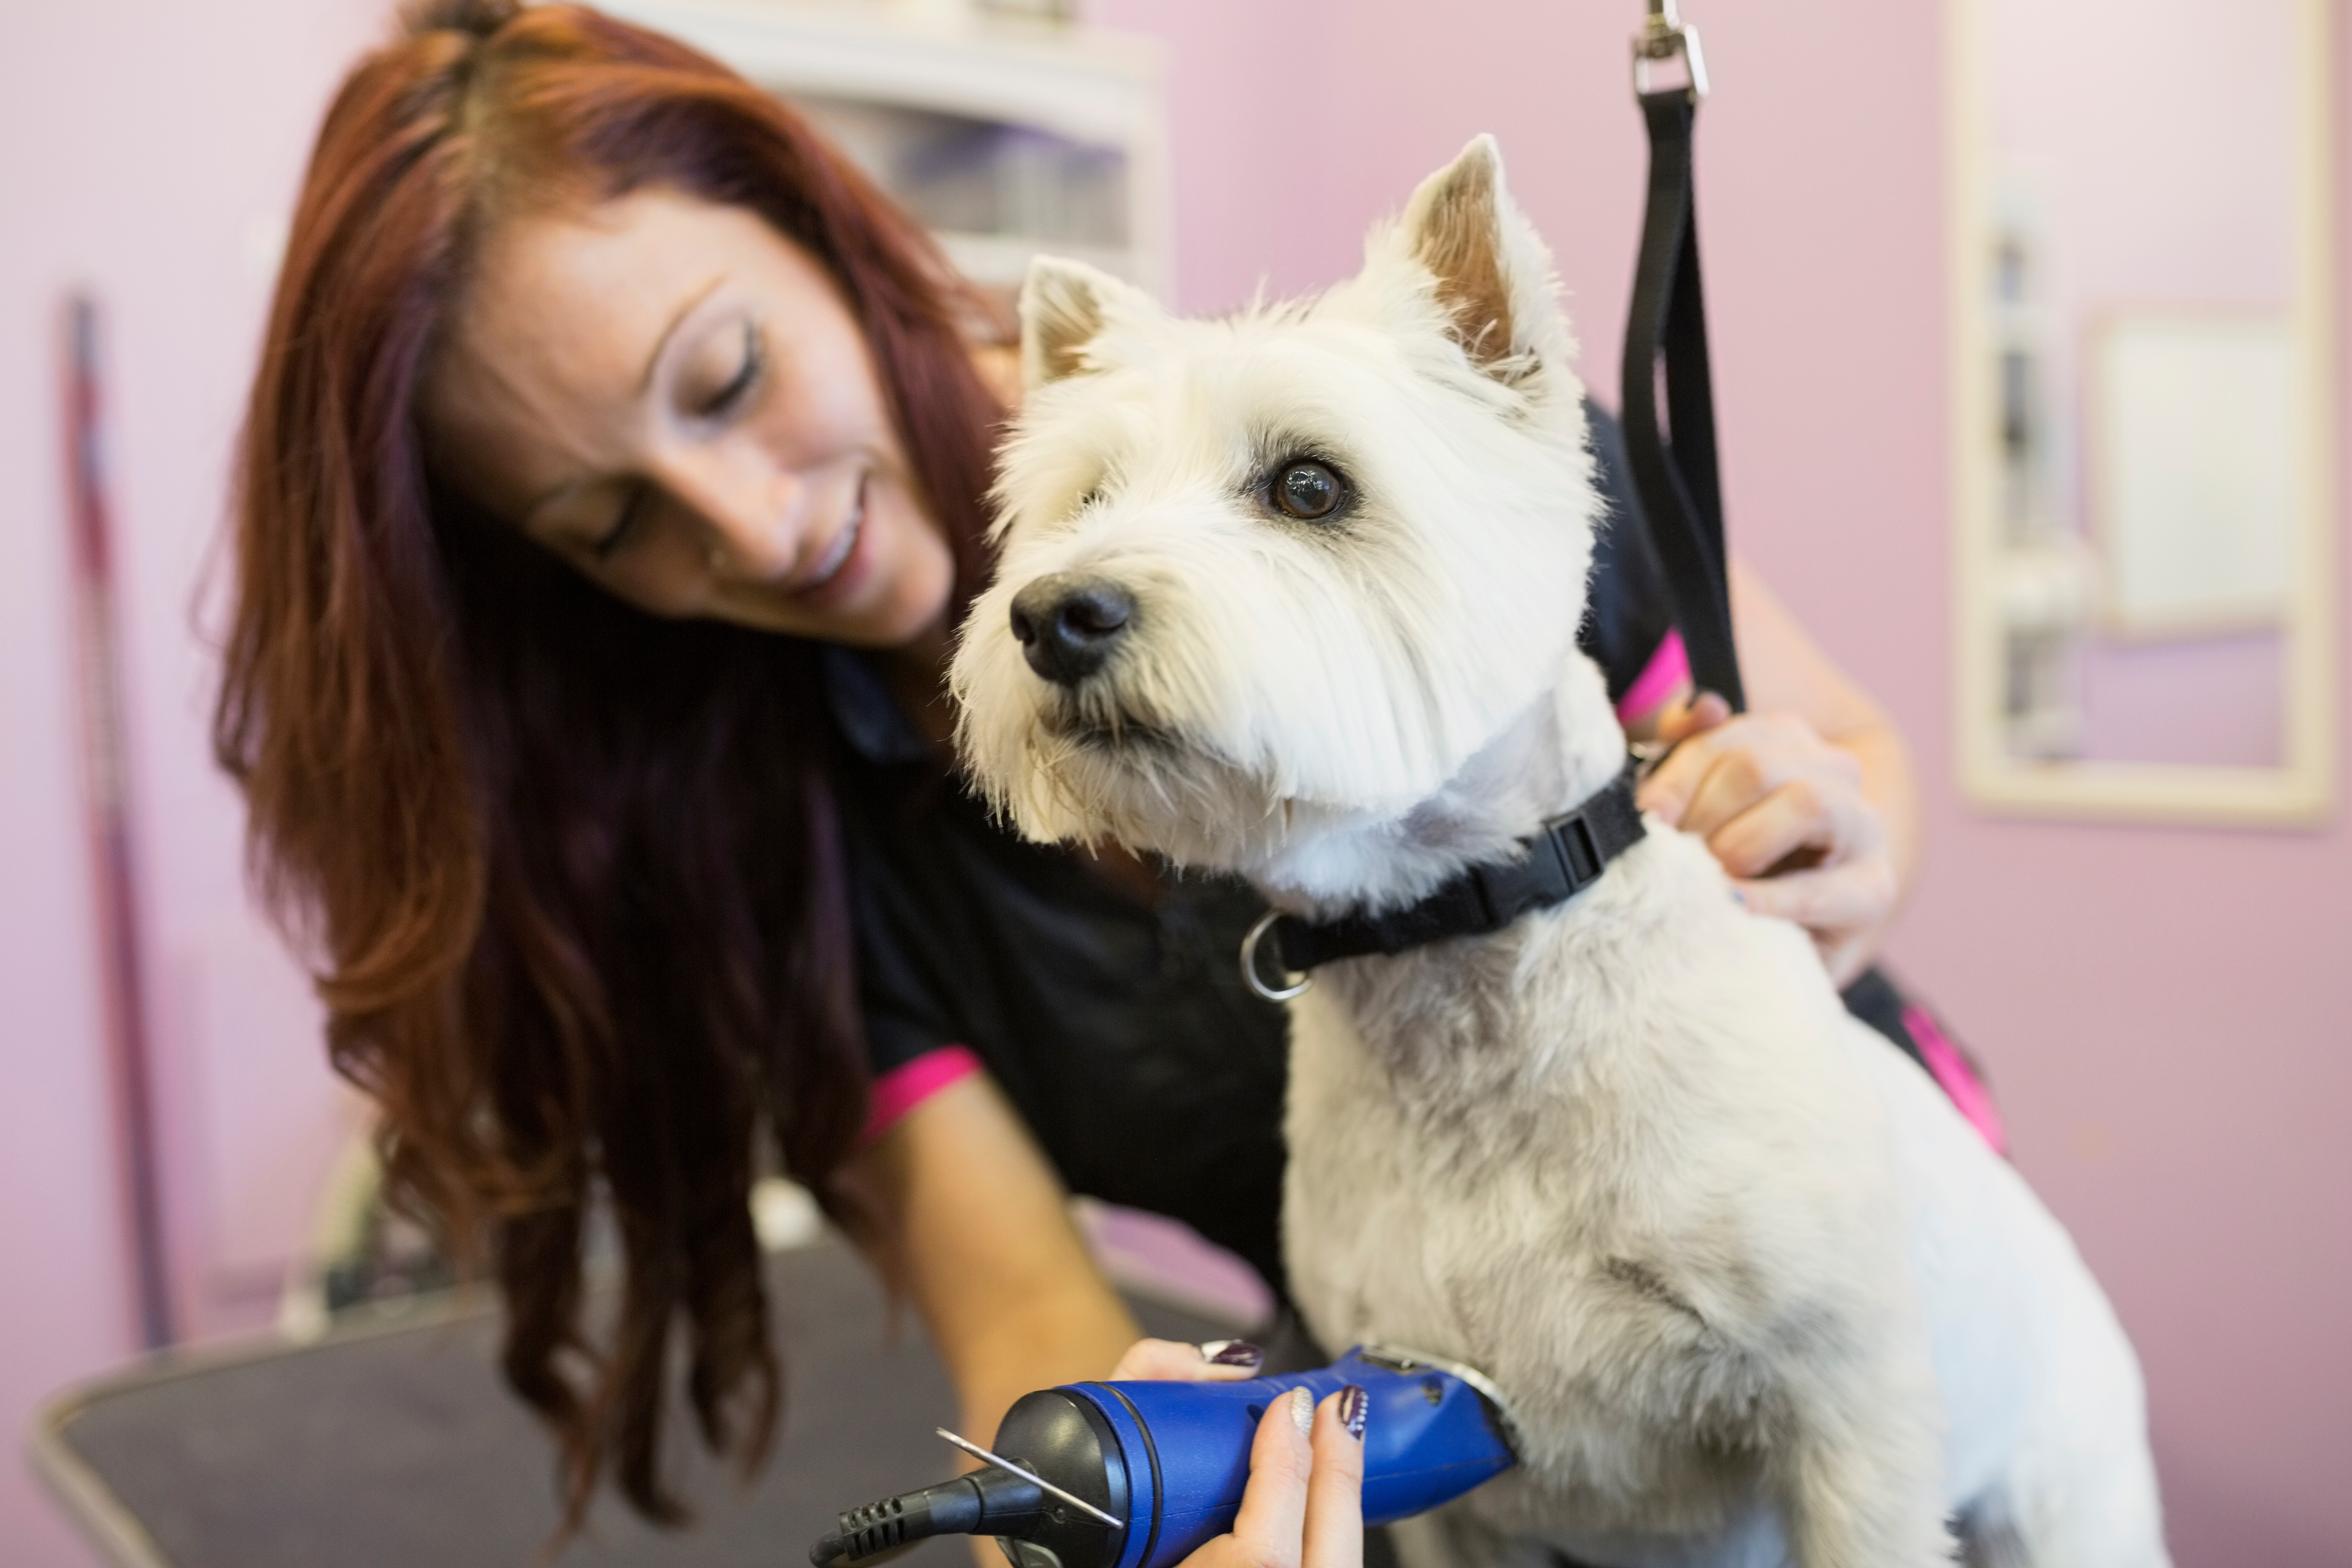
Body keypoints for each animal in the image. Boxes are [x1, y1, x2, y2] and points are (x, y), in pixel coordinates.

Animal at [945, 138, 2154, 1568]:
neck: (1460, 954)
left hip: (2065, 1495)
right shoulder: (1442, 1452)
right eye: (1084, 500)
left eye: (1310, 486)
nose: (1053, 616)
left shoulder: (1852, 1428)